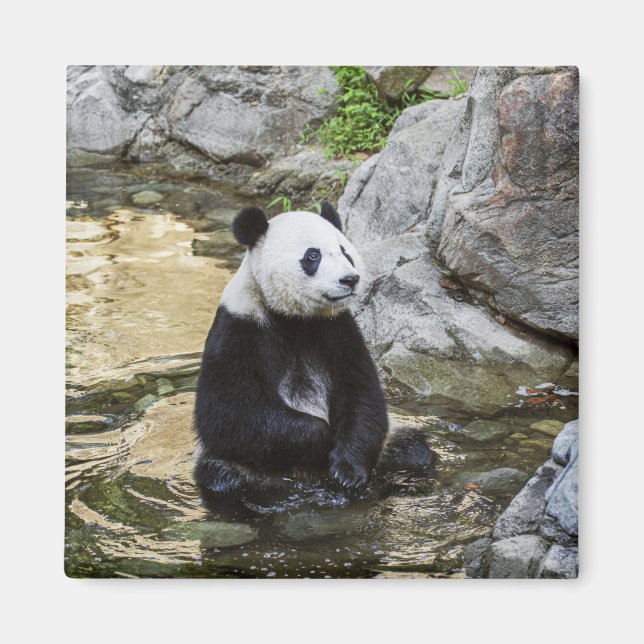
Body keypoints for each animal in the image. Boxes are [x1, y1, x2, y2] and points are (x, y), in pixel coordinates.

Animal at [194, 202, 432, 498]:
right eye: (312, 255)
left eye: (344, 251)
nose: (350, 279)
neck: (296, 318)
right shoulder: (238, 328)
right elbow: (229, 414)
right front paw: (320, 439)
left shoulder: (338, 329)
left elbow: (361, 394)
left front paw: (348, 472)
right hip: (232, 464)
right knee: (223, 477)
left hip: (391, 445)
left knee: (413, 449)